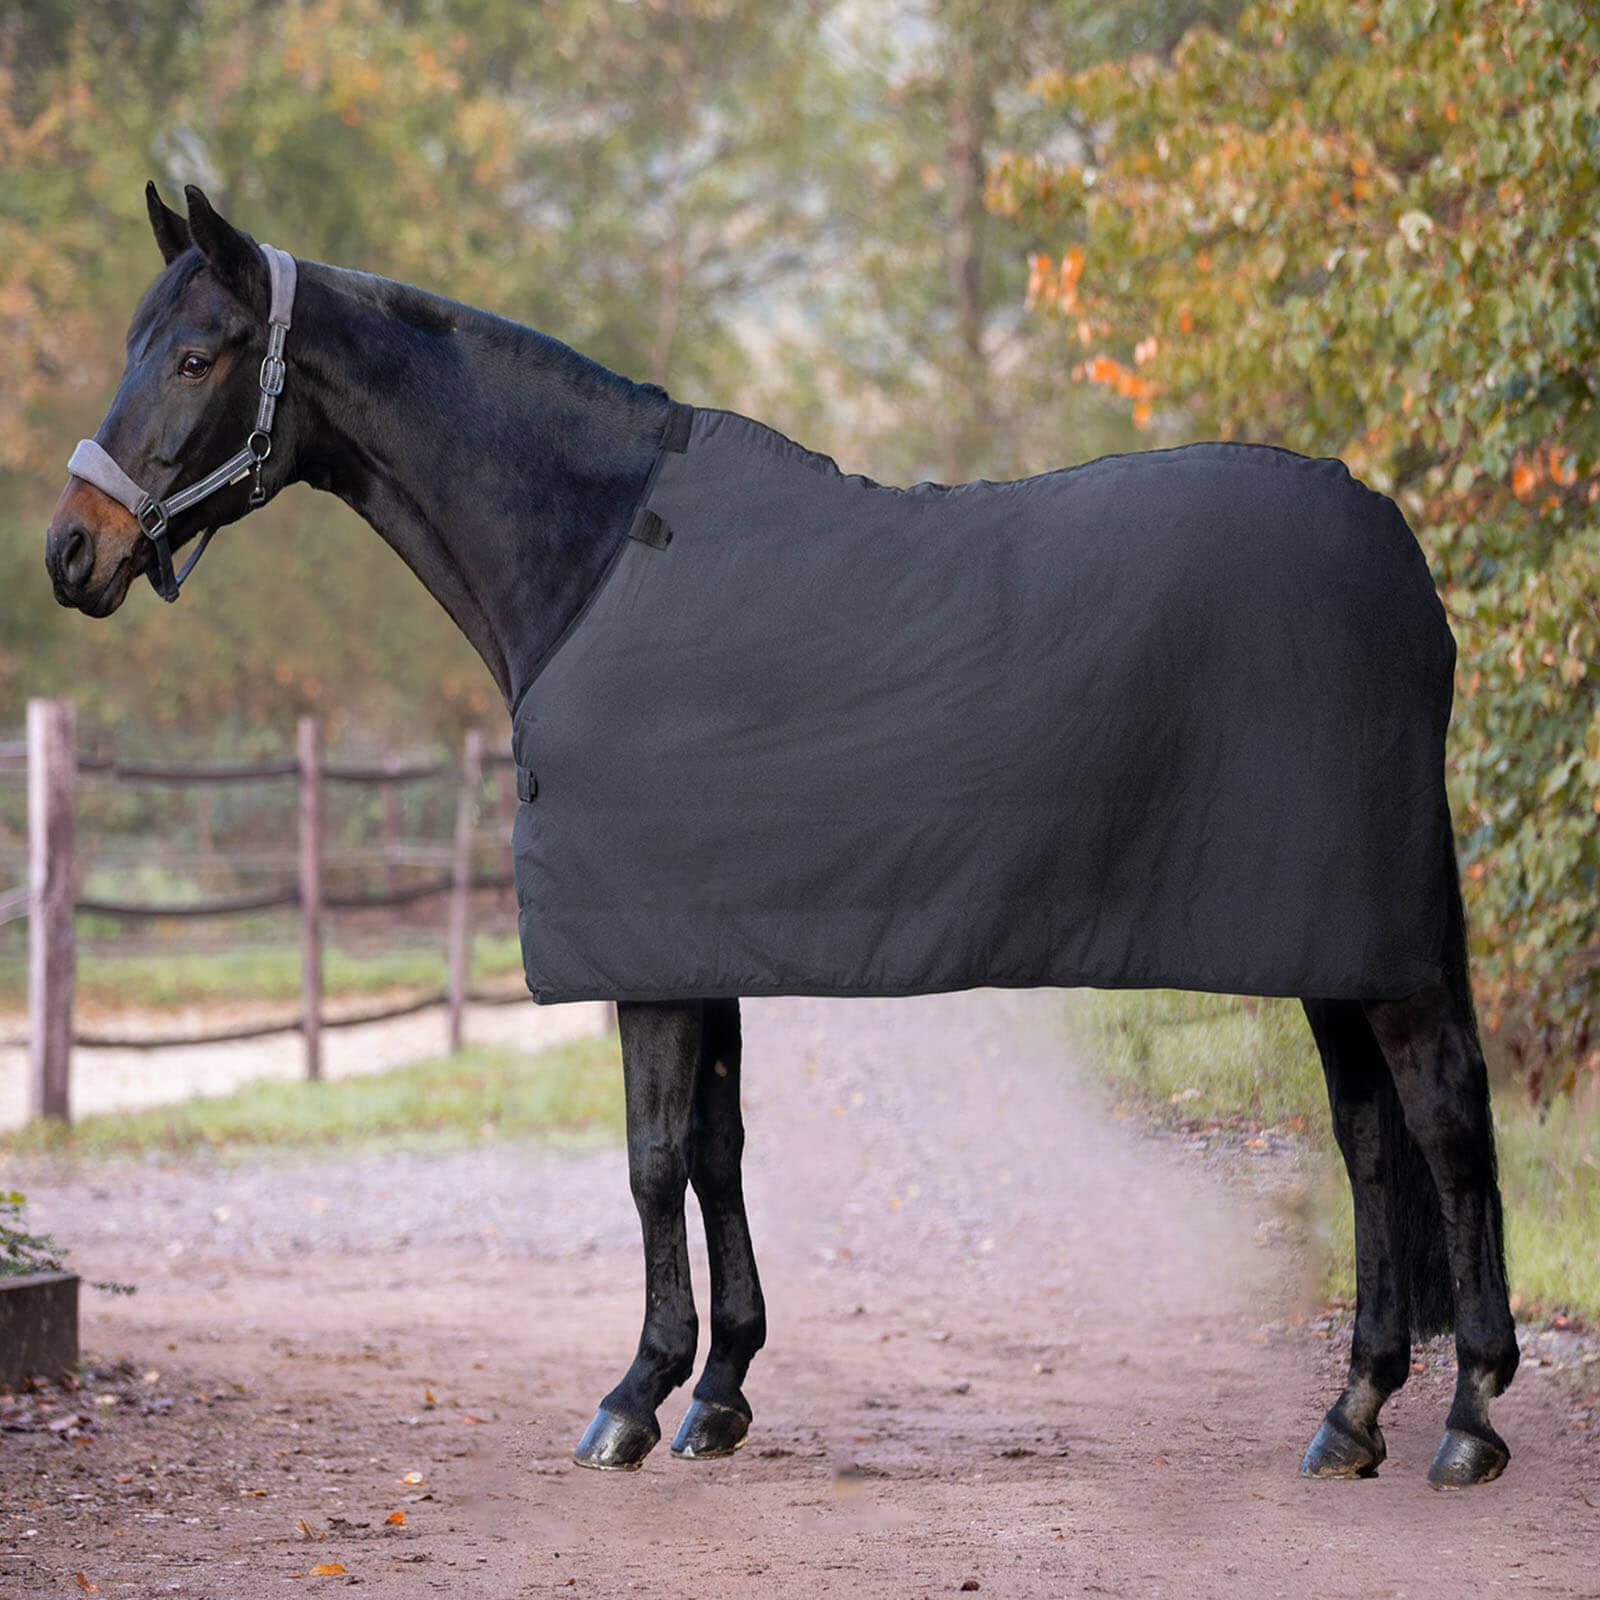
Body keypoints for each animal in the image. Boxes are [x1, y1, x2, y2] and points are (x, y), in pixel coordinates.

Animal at [45, 184, 1519, 1489]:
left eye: (196, 355)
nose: (72, 552)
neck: (594, 556)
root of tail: (1406, 568)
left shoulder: (642, 952)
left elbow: (650, 1161)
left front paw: (633, 1397)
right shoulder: (695, 942)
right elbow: (717, 1146)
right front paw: (720, 1389)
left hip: (1363, 940)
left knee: (1443, 1119)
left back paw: (1467, 1419)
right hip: (1334, 945)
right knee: (1370, 1138)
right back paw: (1355, 1412)